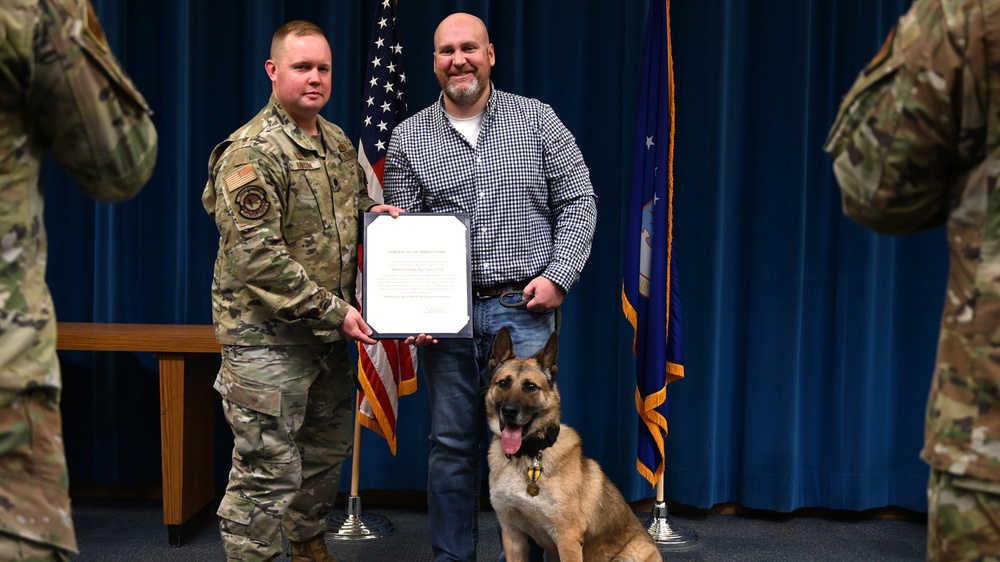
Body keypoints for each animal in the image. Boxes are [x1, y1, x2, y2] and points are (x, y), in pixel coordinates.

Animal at [486, 326, 664, 560]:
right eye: (503, 383)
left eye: (531, 387)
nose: (509, 411)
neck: (528, 455)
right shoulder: (513, 535)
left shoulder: (567, 538)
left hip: (630, 554)